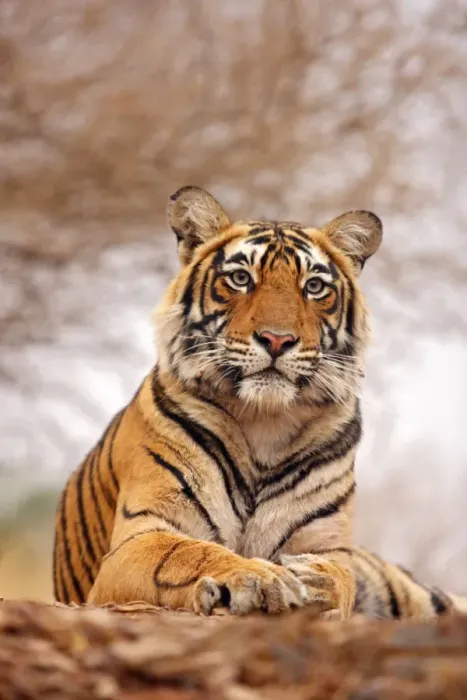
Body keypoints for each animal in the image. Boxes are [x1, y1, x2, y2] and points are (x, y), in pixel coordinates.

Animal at [53, 185, 467, 619]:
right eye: (240, 279)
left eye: (314, 287)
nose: (277, 339)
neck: (264, 421)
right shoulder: (139, 538)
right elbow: (191, 553)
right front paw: (258, 577)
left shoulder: (329, 545)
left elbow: (340, 577)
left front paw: (315, 582)